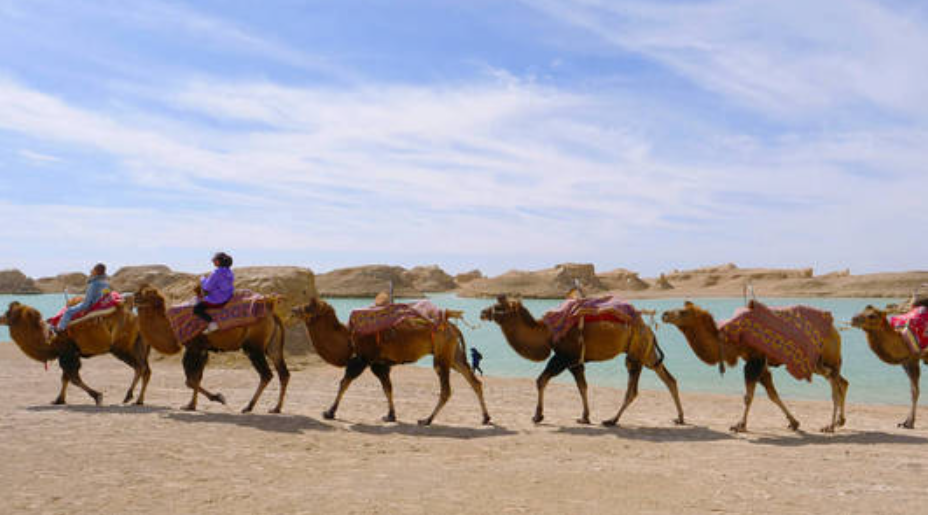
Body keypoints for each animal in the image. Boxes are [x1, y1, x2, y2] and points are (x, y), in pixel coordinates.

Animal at [1, 298, 150, 408]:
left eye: (8, 313)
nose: (0, 318)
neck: (51, 340)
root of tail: (135, 318)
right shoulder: (68, 355)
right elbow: (66, 378)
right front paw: (58, 400)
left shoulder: (68, 354)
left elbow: (73, 378)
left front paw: (98, 397)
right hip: (138, 346)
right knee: (146, 370)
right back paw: (139, 400)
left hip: (121, 347)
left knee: (139, 367)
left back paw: (128, 396)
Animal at [132, 284, 288, 414]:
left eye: (146, 293)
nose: (134, 296)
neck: (171, 328)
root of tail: (271, 310)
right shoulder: (203, 350)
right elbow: (197, 377)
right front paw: (191, 405)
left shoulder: (193, 347)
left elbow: (190, 380)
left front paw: (218, 397)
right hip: (272, 347)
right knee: (283, 373)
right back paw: (276, 408)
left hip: (253, 347)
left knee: (266, 374)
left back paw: (248, 407)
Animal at [292, 298, 492, 428]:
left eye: (306, 307)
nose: (293, 309)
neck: (348, 337)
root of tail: (452, 326)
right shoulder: (379, 363)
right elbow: (387, 387)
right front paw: (390, 415)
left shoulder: (363, 358)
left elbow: (344, 383)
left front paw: (329, 412)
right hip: (454, 355)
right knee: (475, 381)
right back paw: (486, 418)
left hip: (441, 354)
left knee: (446, 389)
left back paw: (426, 420)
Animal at [478, 296, 680, 426]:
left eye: (499, 306)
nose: (482, 312)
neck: (546, 333)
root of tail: (648, 328)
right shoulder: (575, 361)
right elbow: (582, 386)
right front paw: (584, 417)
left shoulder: (563, 357)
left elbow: (541, 380)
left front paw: (537, 416)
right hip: (647, 353)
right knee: (668, 378)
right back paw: (680, 418)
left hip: (636, 353)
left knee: (633, 390)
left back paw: (611, 420)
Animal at [660, 300, 848, 434]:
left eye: (683, 312)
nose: (664, 314)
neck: (728, 342)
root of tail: (835, 331)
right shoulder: (757, 362)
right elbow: (772, 394)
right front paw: (794, 422)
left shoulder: (755, 361)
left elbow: (748, 396)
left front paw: (740, 425)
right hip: (823, 362)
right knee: (842, 381)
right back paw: (840, 421)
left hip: (822, 360)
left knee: (834, 383)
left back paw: (830, 426)